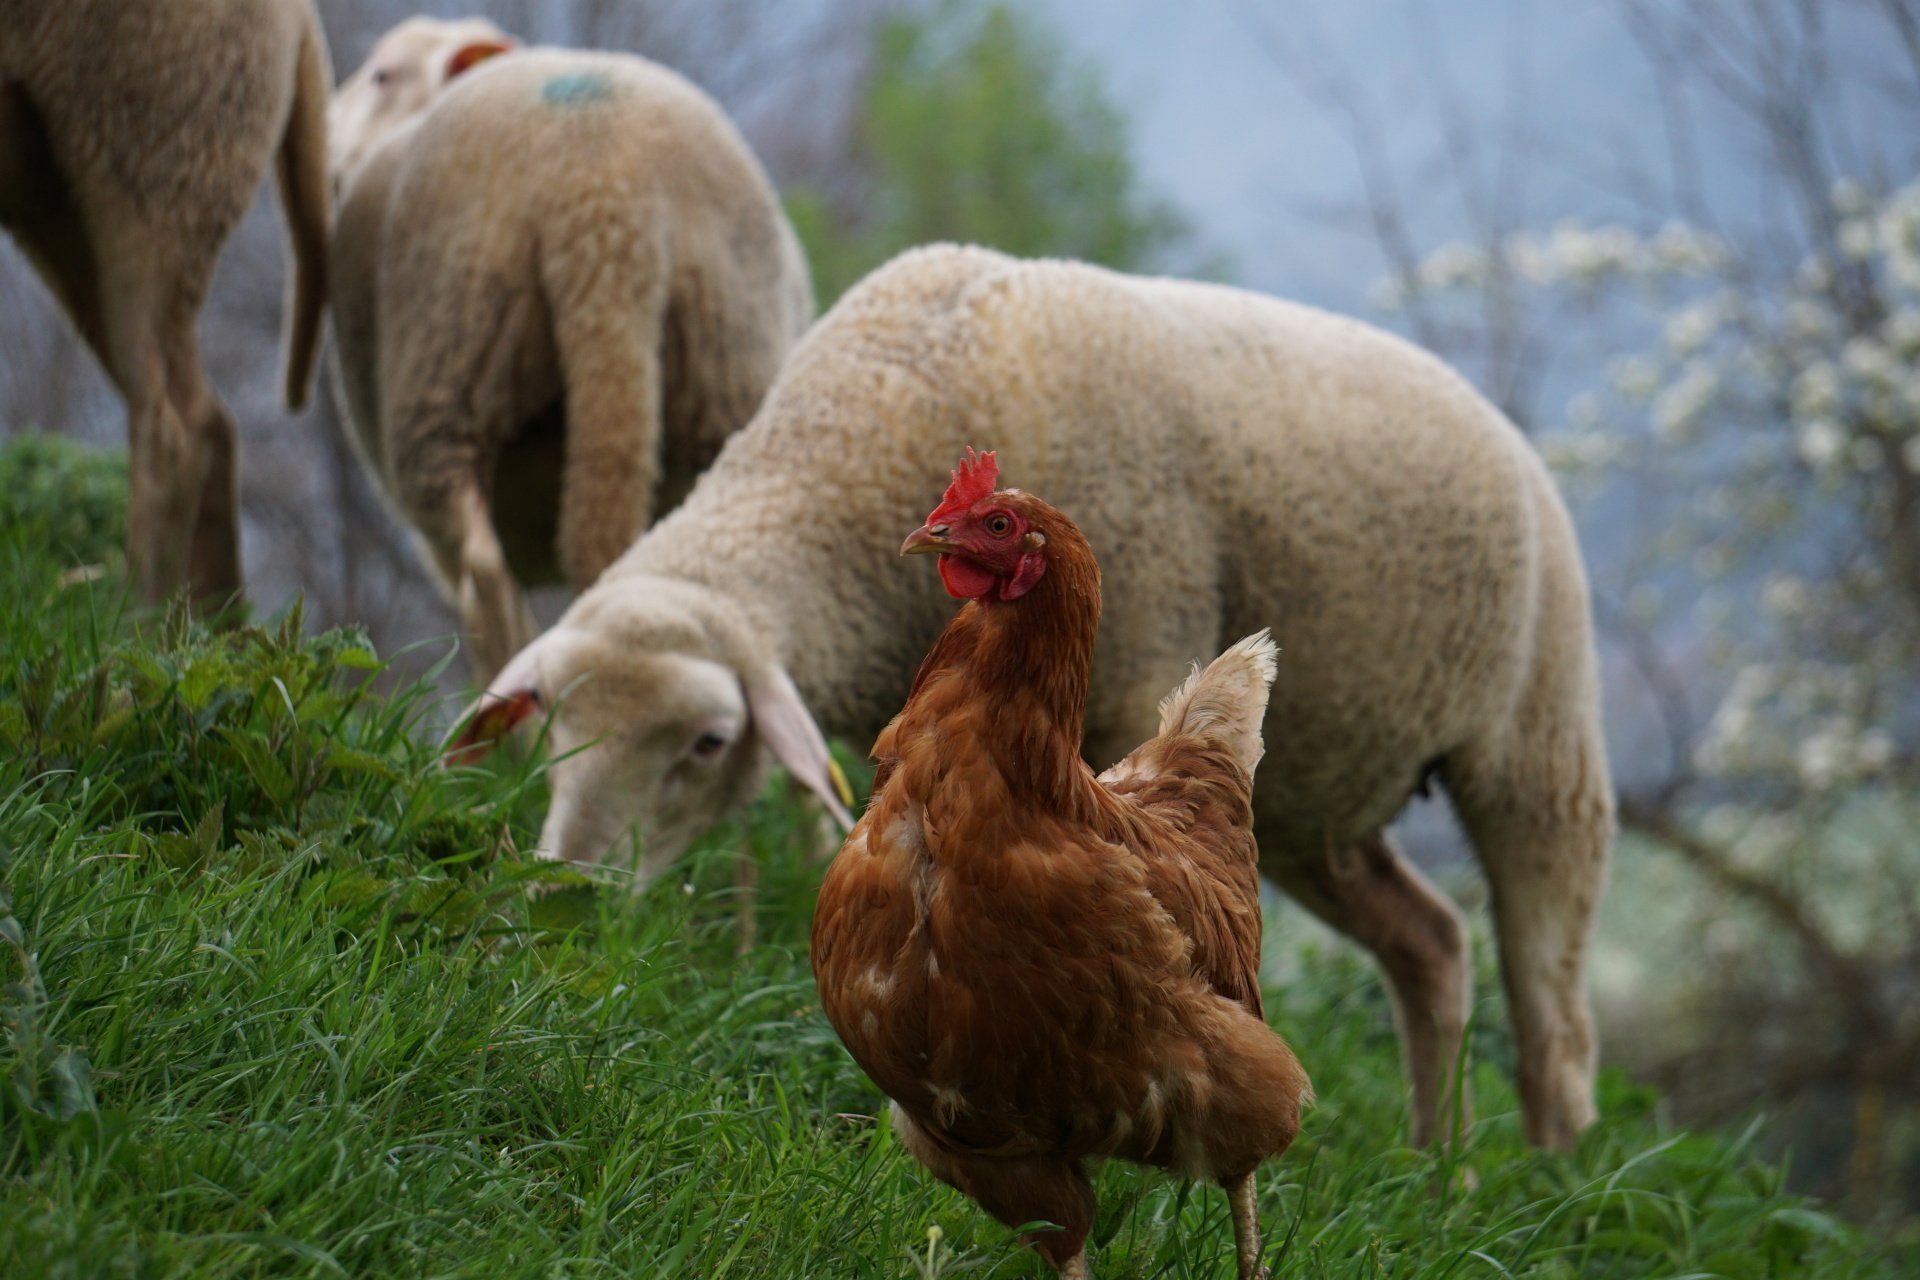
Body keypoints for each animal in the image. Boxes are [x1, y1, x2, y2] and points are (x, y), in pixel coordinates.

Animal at [0, 0, 331, 606]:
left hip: (153, 149)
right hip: (51, 181)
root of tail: (301, 24)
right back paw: (211, 620)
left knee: (173, 426)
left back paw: (135, 618)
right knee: (203, 412)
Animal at [327, 19, 814, 677]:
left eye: (382, 74)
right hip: (724, 365)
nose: (327, 134)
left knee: (486, 573)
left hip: (444, 371)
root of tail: (604, 189)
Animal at [452, 243, 1616, 1153]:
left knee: (1554, 1017)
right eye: (555, 725)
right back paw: (1439, 1170)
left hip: (1538, 743)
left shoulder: (1142, 686)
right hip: (1310, 802)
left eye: (706, 740)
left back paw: (1548, 1182)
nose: (569, 891)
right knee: (1432, 943)